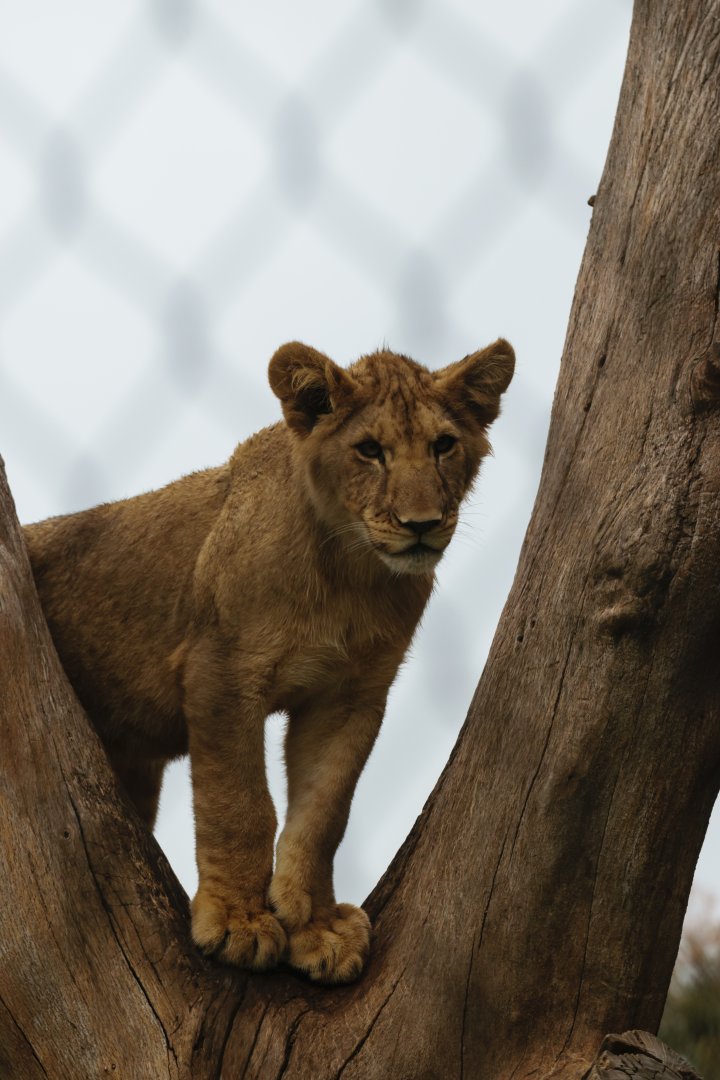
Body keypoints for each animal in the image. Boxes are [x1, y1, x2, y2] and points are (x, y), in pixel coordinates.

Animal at [23, 338, 514, 983]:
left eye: (443, 445)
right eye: (369, 450)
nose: (422, 525)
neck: (350, 575)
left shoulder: (350, 696)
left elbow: (325, 812)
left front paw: (316, 926)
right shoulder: (220, 670)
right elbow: (239, 803)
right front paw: (237, 921)